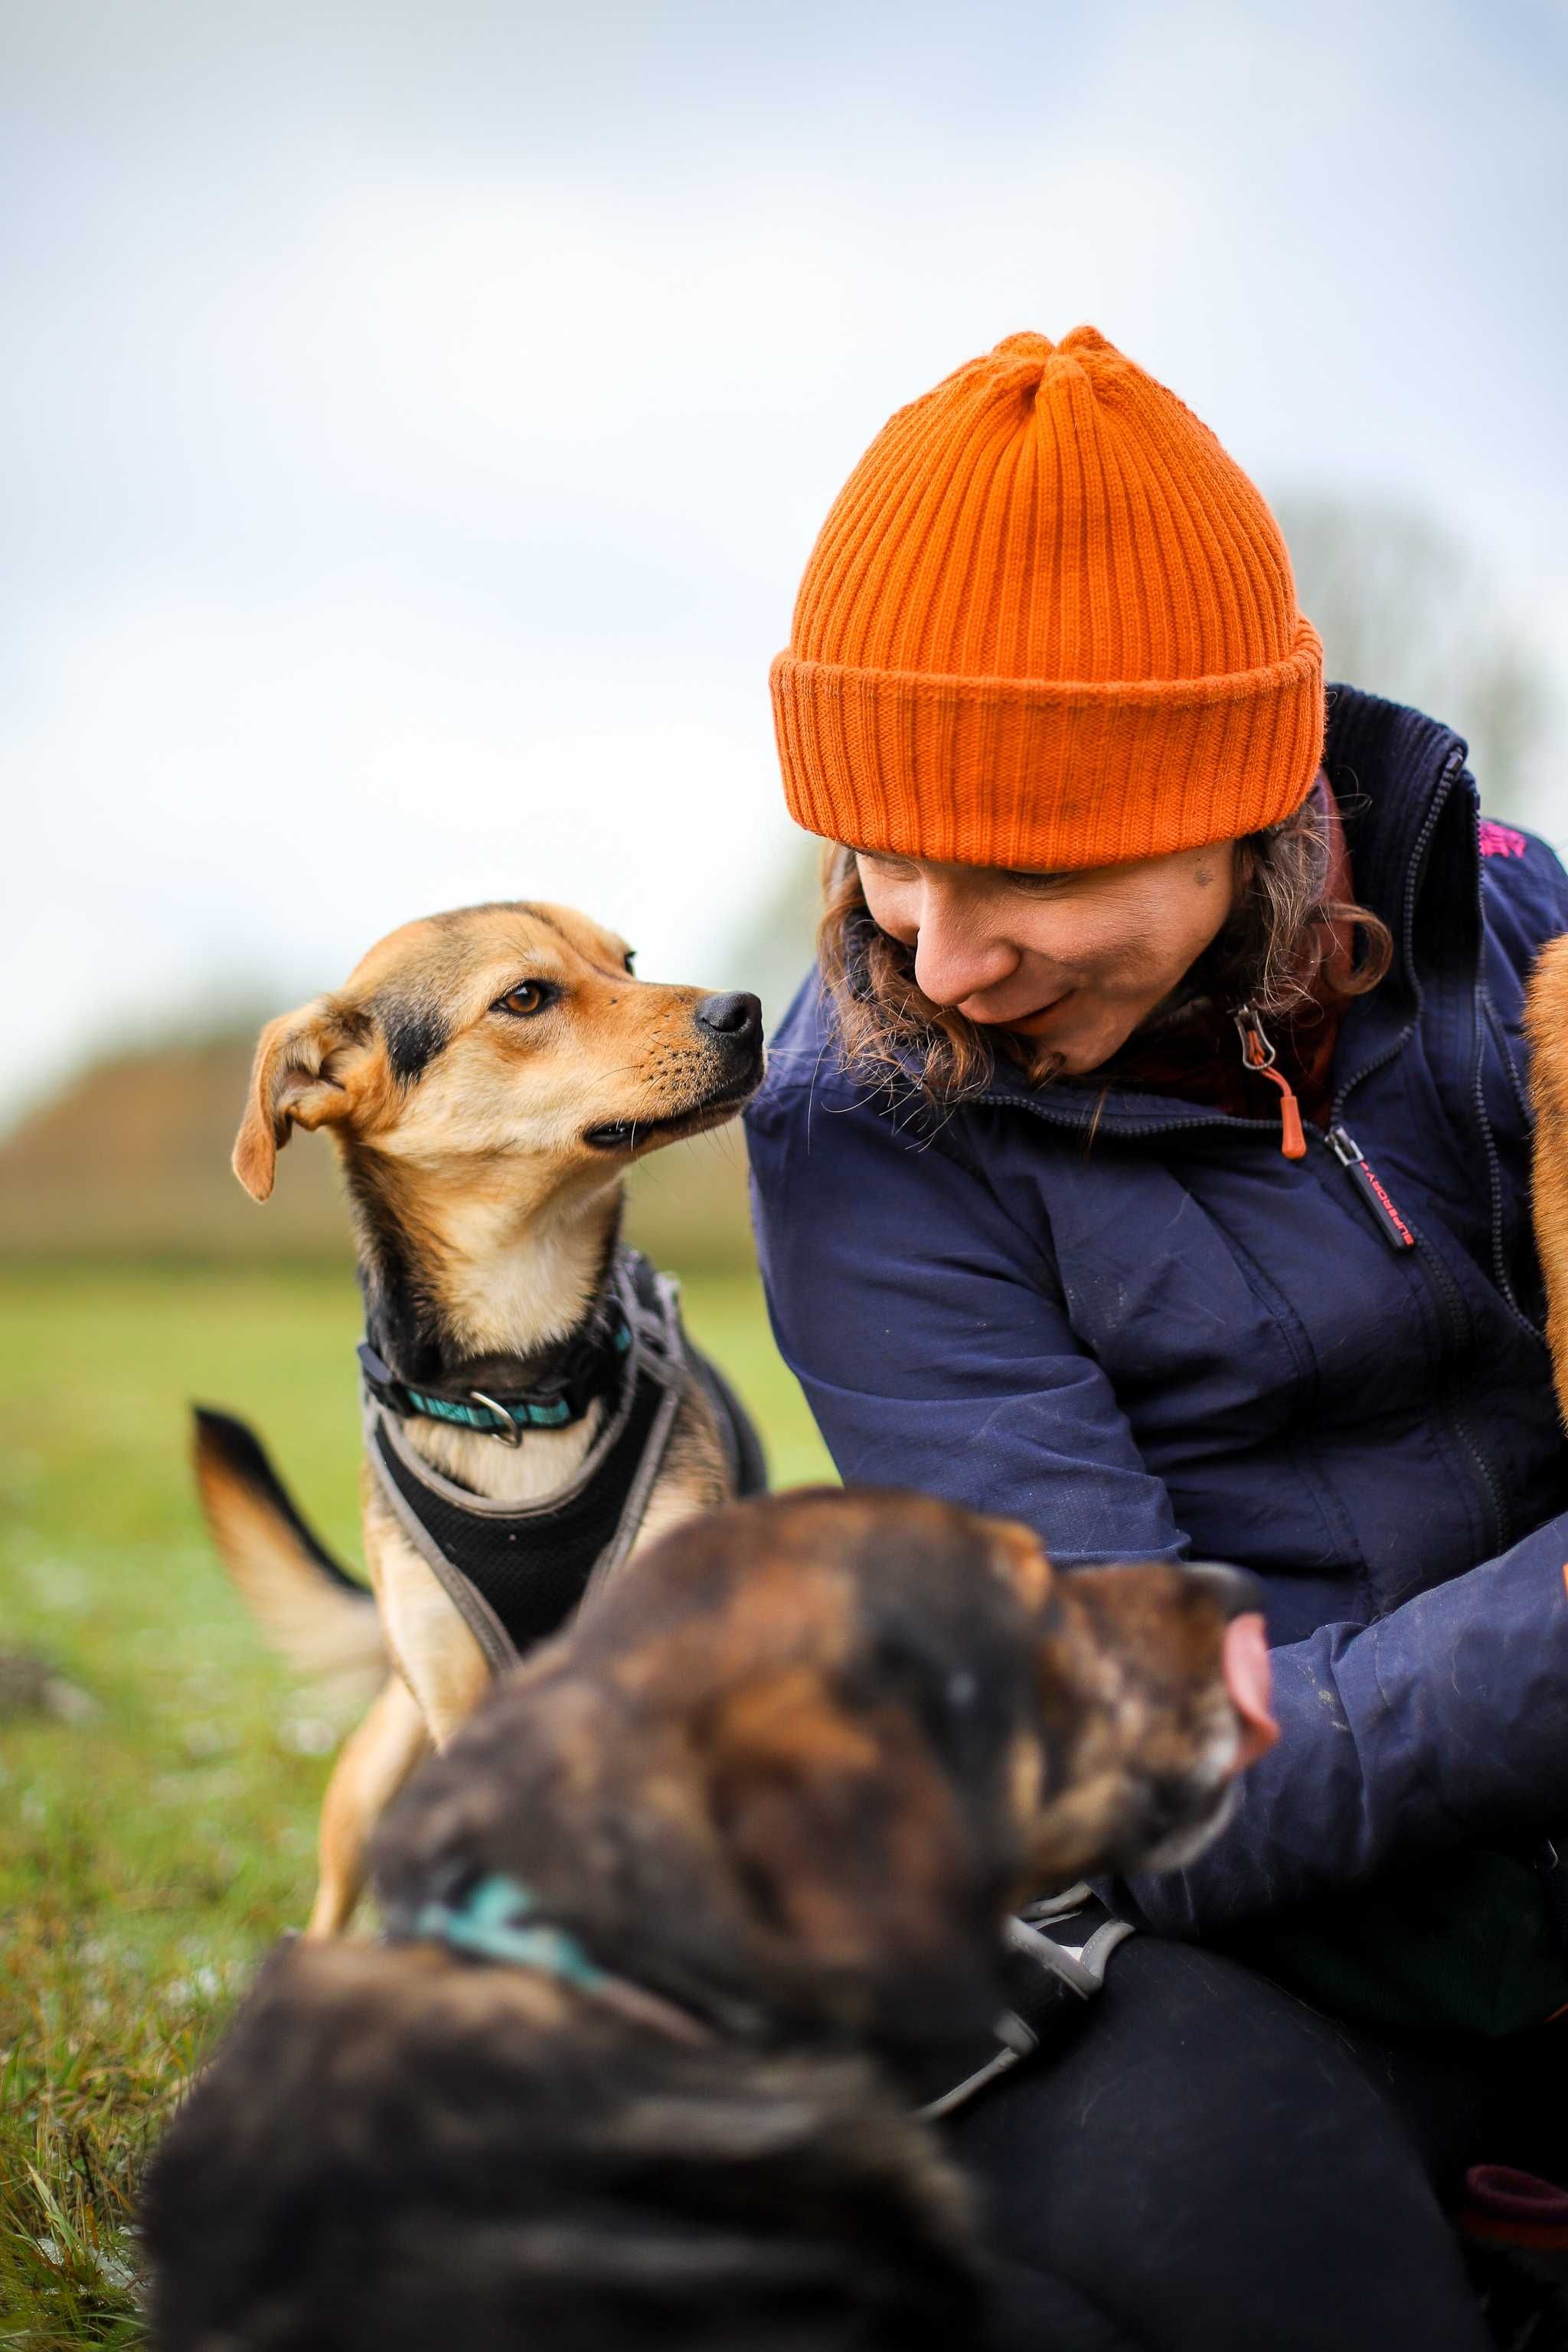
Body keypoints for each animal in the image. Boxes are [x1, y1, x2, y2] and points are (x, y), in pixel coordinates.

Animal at [192, 893, 771, 1929]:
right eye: (526, 997)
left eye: (626, 961)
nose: (744, 1012)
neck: (518, 1383)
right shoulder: (461, 1712)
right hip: (378, 1769)